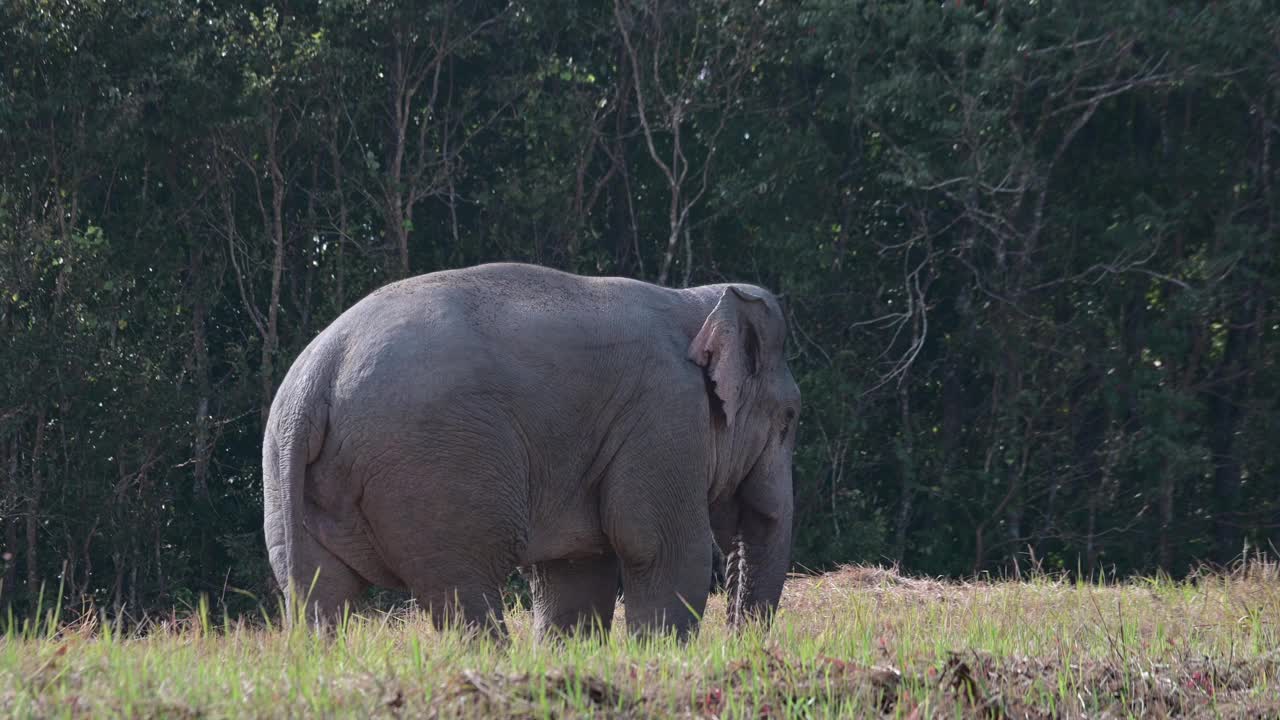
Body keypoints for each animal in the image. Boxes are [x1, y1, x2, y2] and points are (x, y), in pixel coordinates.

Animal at [259, 258, 798, 638]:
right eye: (790, 418)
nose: (740, 644)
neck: (696, 302)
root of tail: (319, 374)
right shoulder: (665, 415)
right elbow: (665, 551)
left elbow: (575, 574)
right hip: (433, 473)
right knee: (462, 590)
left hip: (286, 474)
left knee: (317, 595)